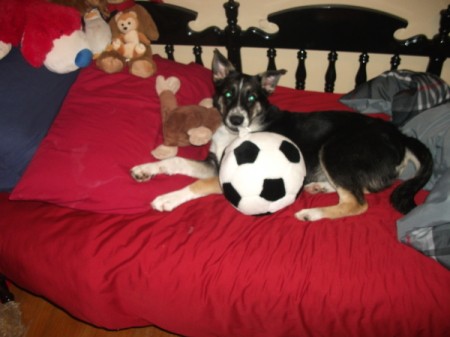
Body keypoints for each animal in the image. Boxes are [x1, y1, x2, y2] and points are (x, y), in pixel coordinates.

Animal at [130, 48, 432, 219]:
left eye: (252, 97)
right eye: (227, 94)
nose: (235, 118)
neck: (238, 132)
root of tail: (400, 135)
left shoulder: (226, 178)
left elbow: (199, 185)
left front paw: (168, 198)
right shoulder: (213, 164)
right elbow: (177, 160)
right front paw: (146, 169)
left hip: (337, 148)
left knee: (358, 202)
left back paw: (312, 212)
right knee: (365, 187)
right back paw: (320, 186)